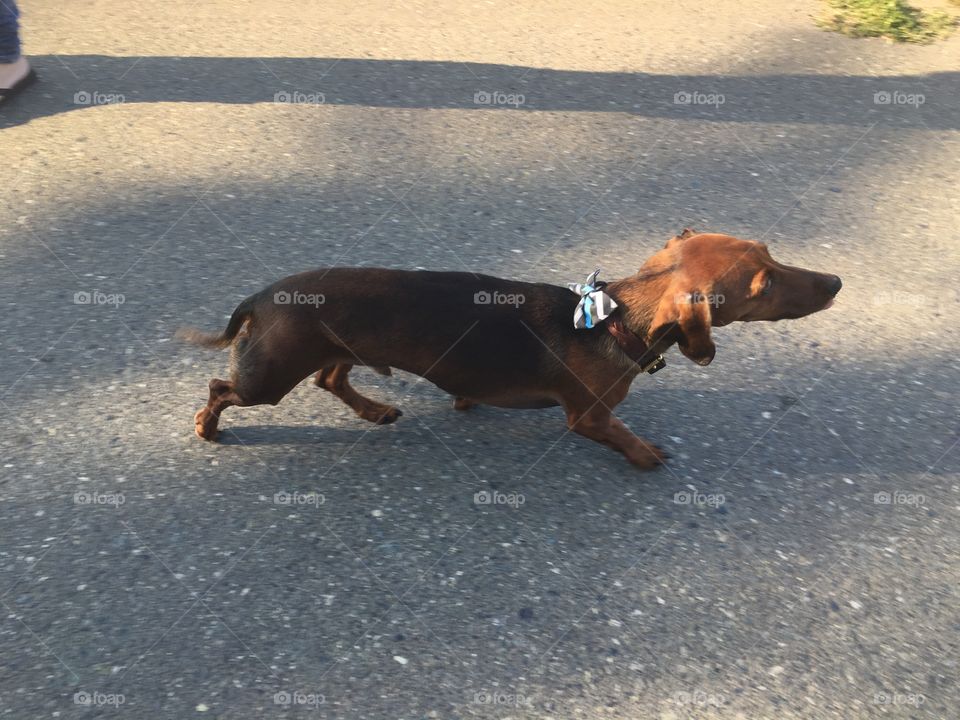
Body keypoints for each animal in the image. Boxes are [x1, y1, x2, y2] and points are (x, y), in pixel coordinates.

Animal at [178, 228, 840, 470]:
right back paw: (208, 427)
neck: (609, 321)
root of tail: (261, 297)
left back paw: (376, 409)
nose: (835, 282)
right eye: (765, 284)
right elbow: (619, 434)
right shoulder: (588, 416)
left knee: (332, 380)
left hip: (334, 350)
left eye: (771, 253)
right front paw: (646, 454)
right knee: (221, 389)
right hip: (269, 377)